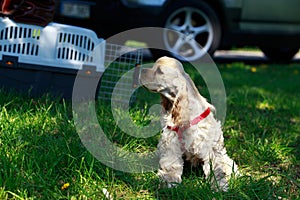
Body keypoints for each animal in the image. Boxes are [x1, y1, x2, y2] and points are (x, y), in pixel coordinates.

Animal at [139, 55, 238, 191]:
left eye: (159, 71)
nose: (140, 70)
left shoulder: (210, 147)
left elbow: (217, 169)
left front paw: (219, 186)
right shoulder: (171, 142)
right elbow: (170, 164)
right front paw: (168, 182)